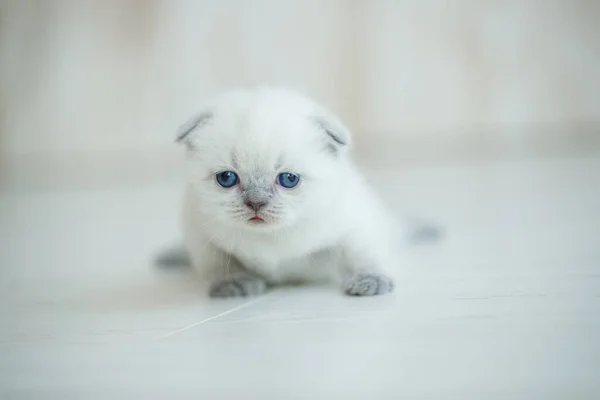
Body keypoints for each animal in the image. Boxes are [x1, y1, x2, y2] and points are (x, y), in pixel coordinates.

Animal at [176, 86, 398, 296]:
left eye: (289, 179)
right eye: (227, 178)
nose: (256, 203)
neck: (270, 238)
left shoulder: (355, 223)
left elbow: (362, 253)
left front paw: (371, 280)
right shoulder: (200, 233)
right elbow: (217, 264)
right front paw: (233, 284)